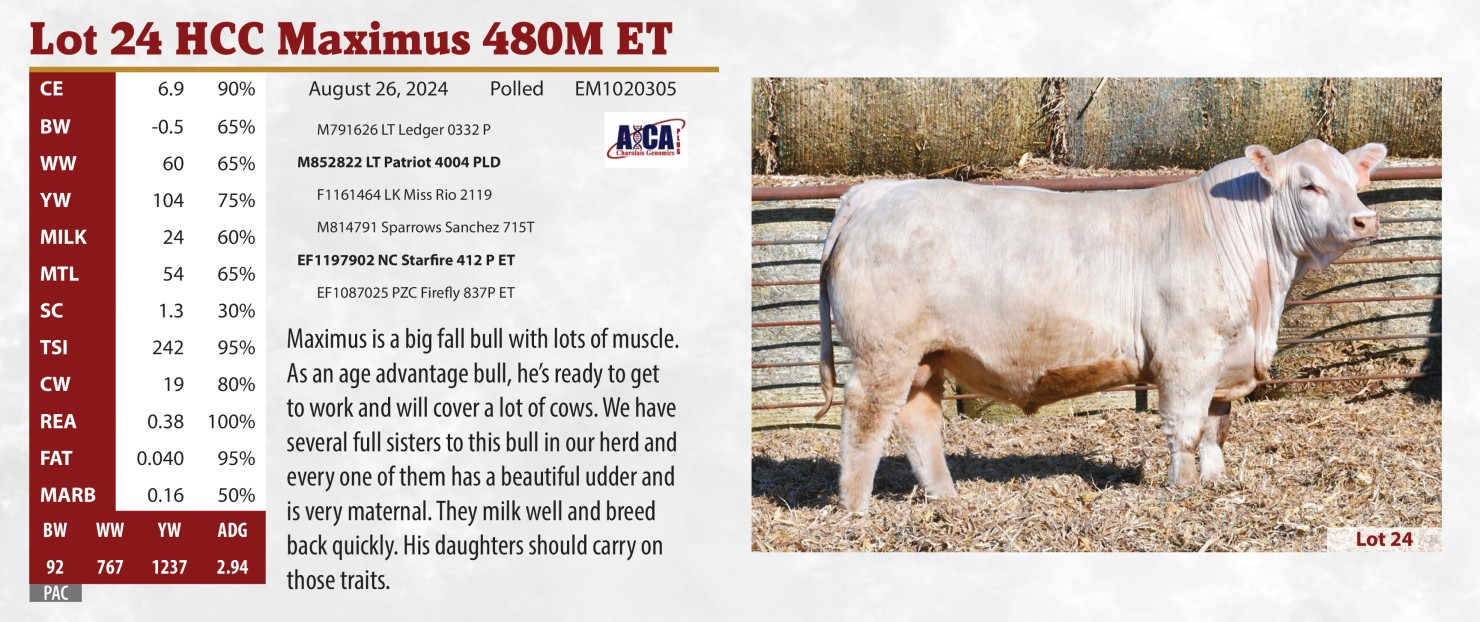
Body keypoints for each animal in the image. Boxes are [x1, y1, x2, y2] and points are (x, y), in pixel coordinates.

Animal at [815, 139, 1387, 512]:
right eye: (1310, 185)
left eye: (1354, 181)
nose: (1365, 219)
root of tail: (874, 192)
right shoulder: (1187, 355)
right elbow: (1186, 428)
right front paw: (1182, 491)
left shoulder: (1226, 358)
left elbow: (1216, 431)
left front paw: (1215, 484)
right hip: (884, 350)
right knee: (866, 414)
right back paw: (856, 509)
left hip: (926, 355)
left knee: (919, 419)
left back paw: (947, 498)